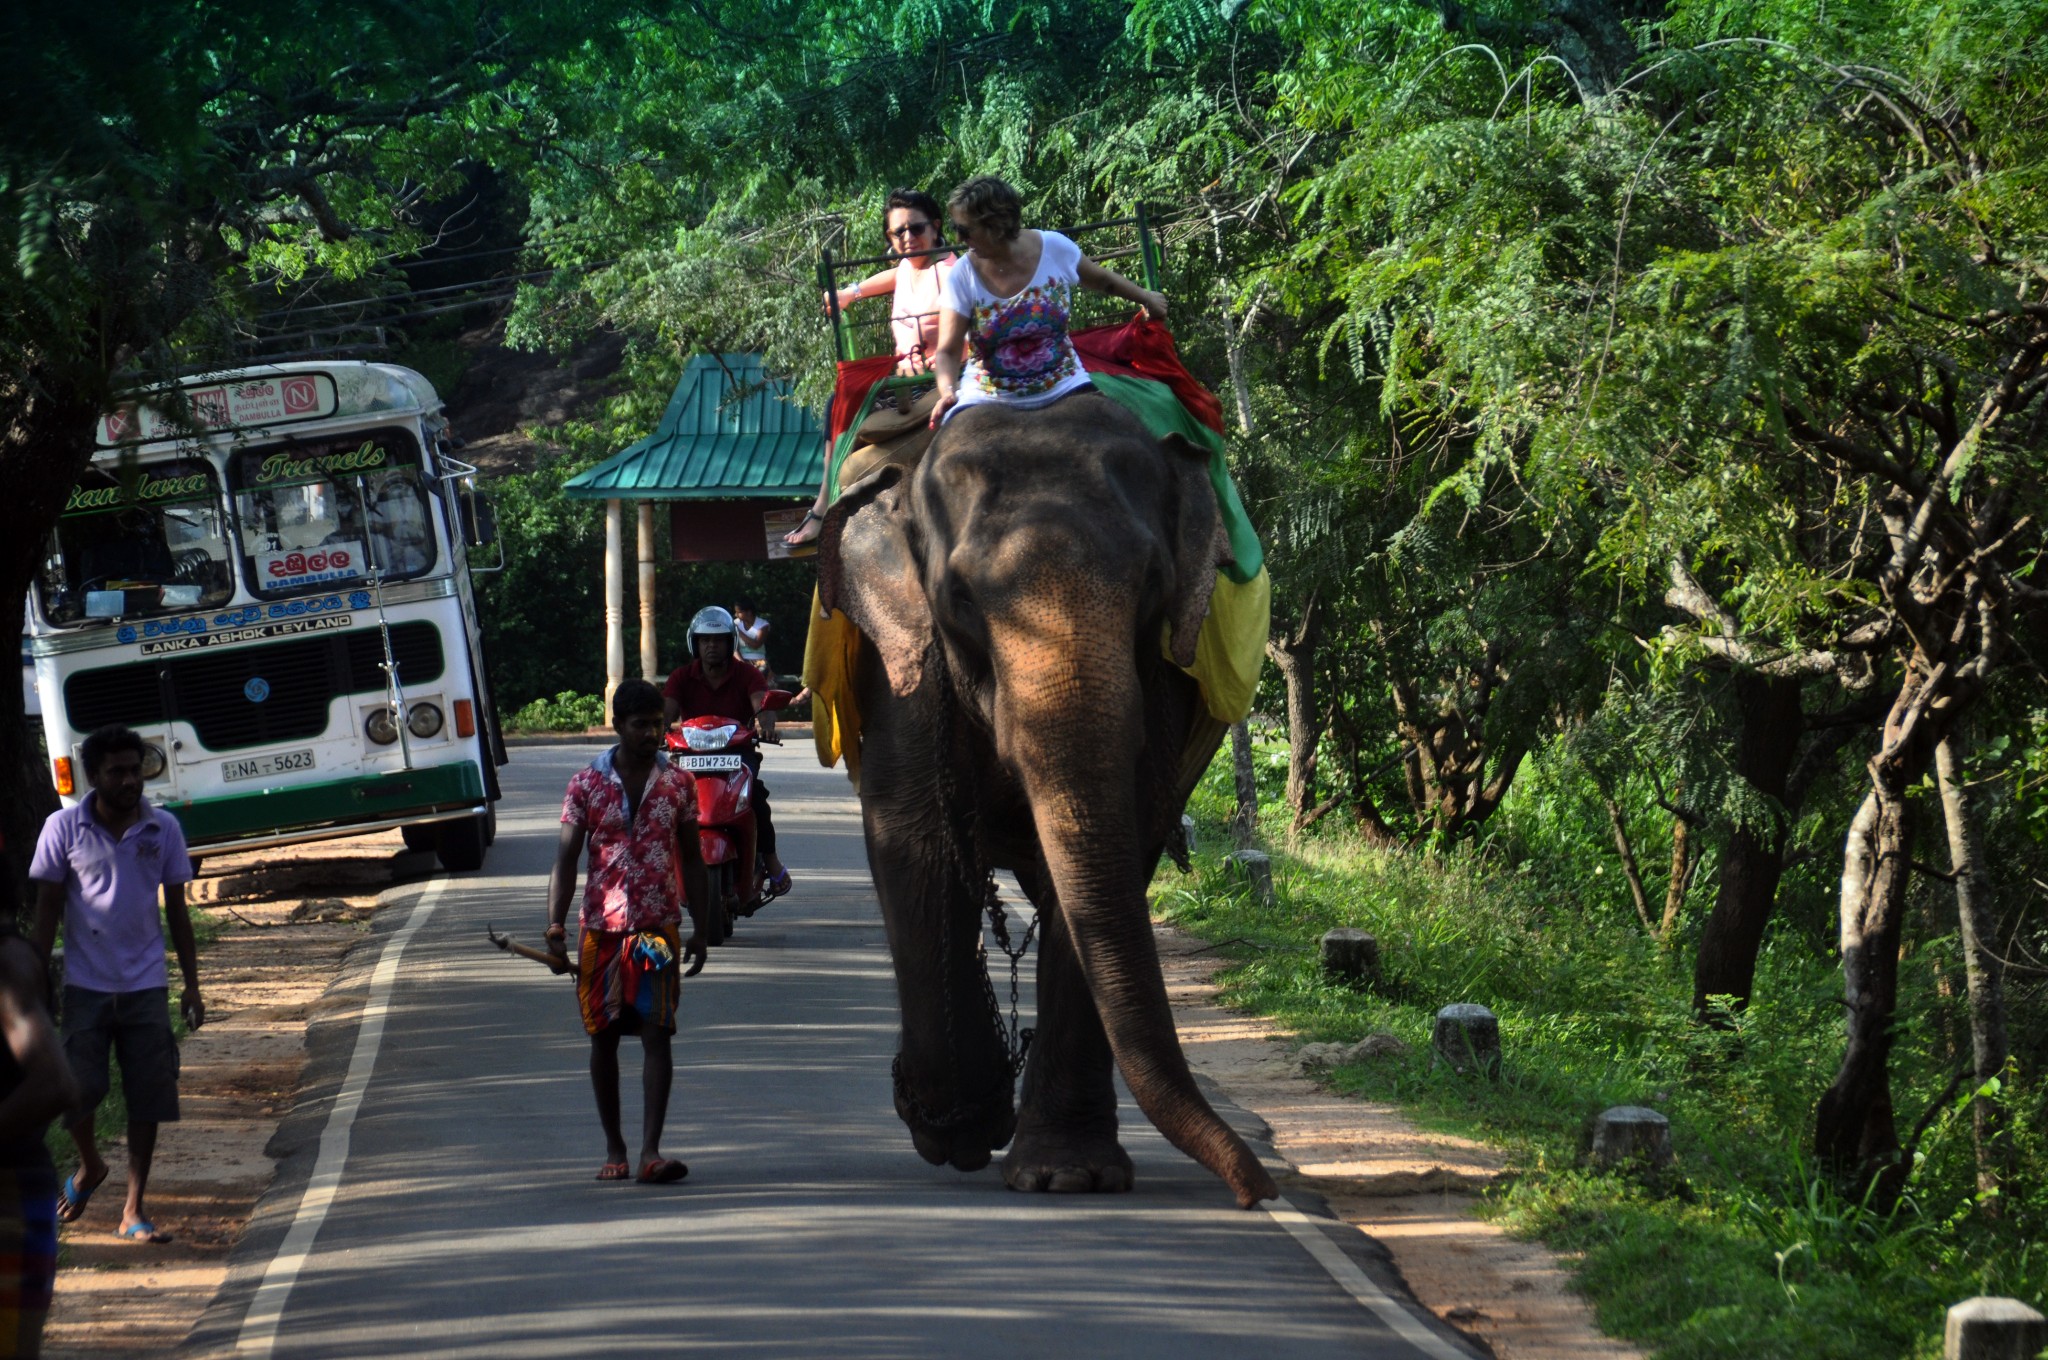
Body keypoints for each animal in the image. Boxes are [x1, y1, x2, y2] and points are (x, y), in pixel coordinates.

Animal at [819, 391, 1277, 1212]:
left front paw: (1069, 1176)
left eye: (1154, 585)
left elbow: (1121, 843)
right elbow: (914, 837)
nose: (1258, 1191)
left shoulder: (1161, 678)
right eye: (959, 597)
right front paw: (960, 1129)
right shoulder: (902, 666)